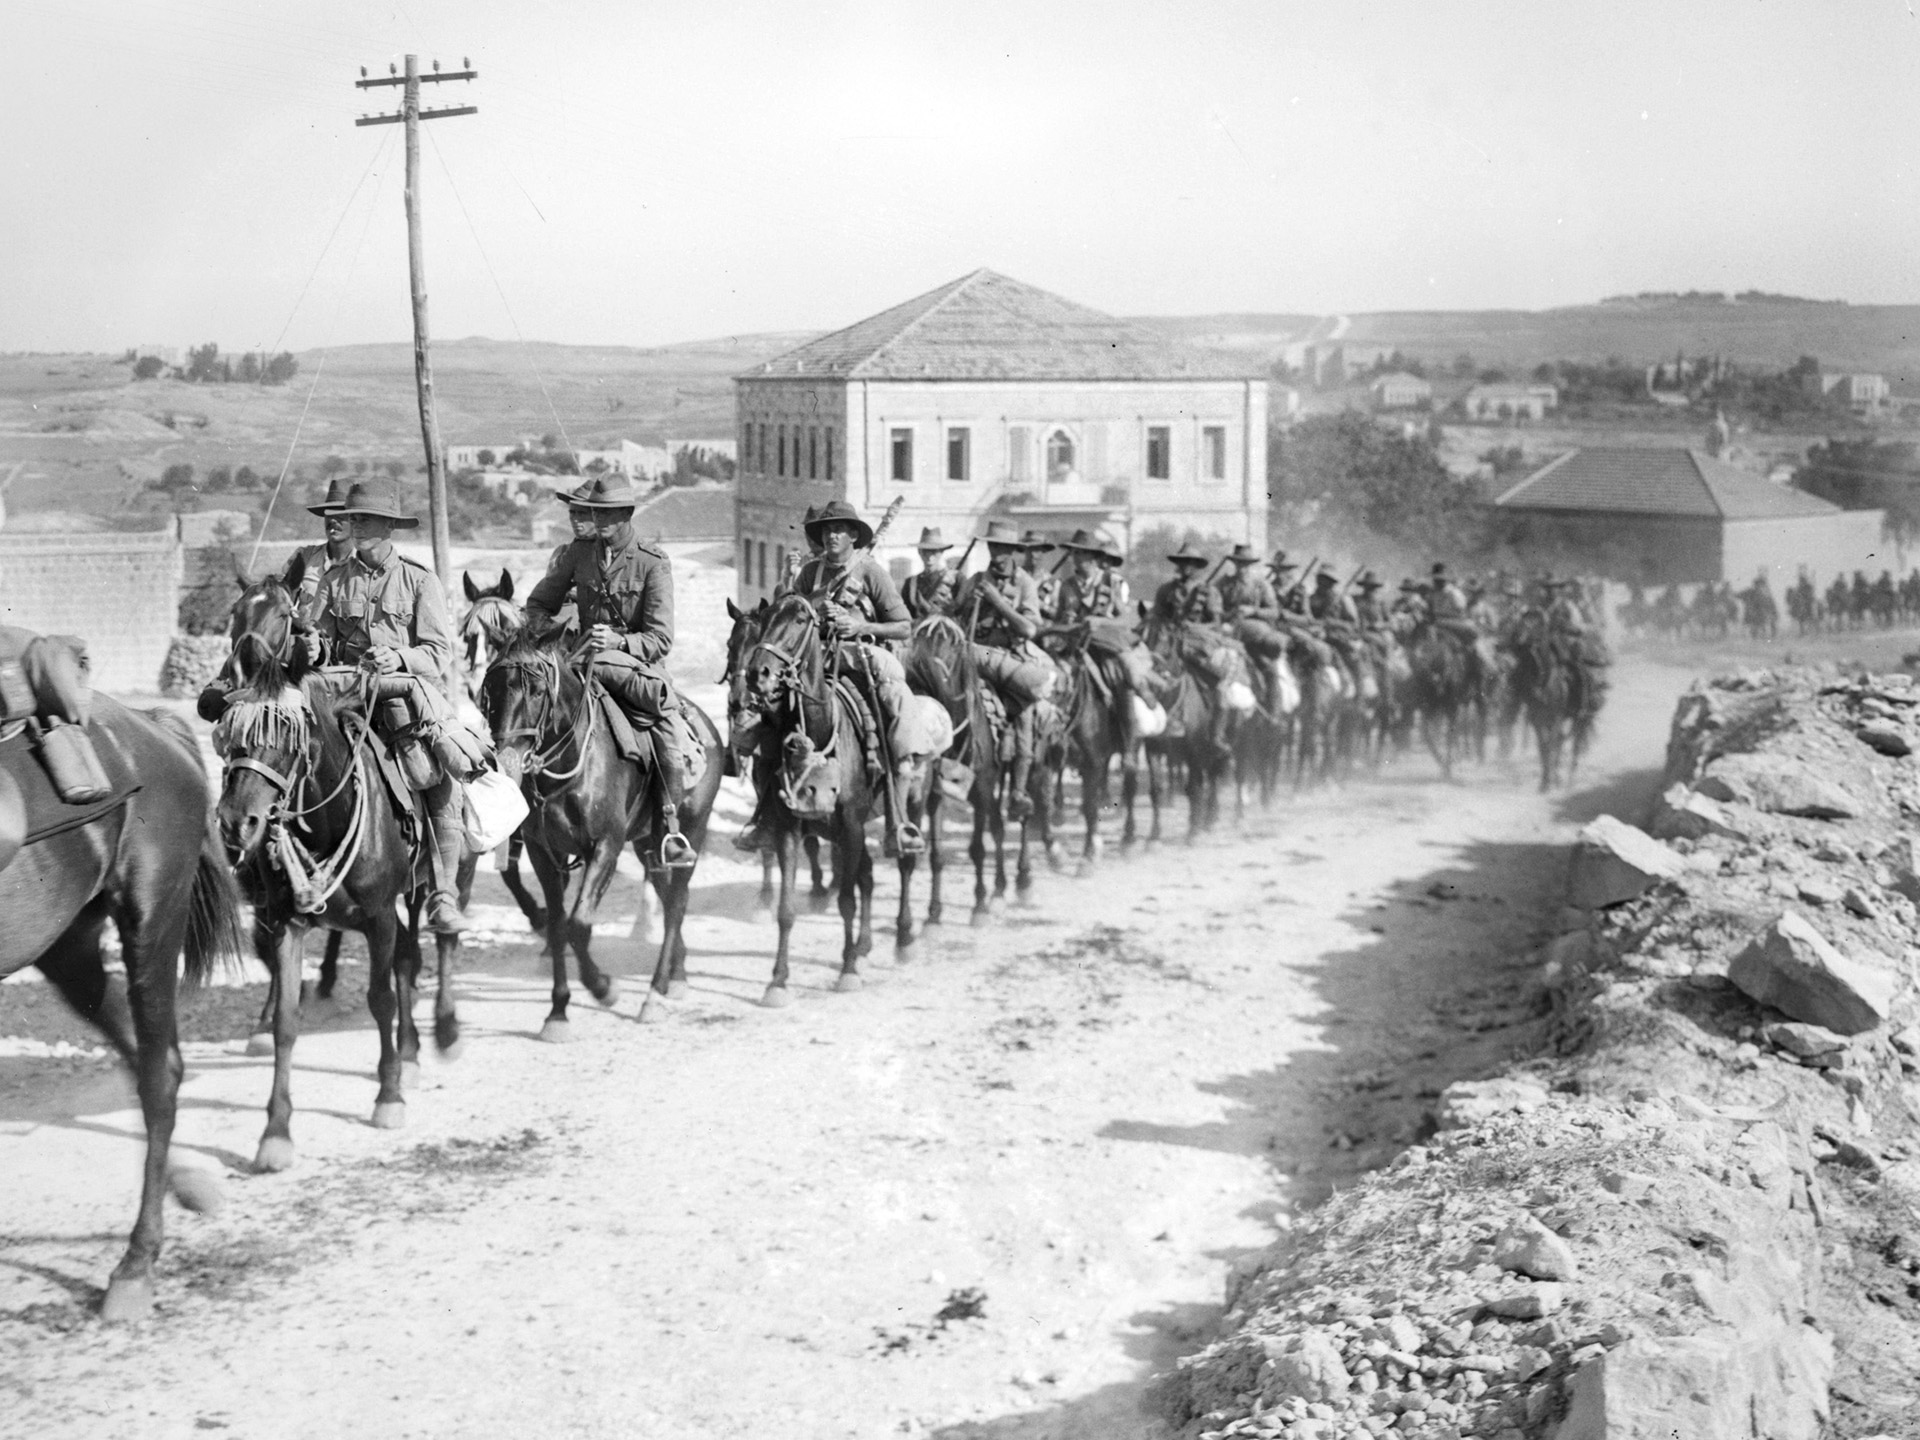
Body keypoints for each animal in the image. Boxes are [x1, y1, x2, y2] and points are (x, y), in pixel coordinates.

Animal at [0, 698, 247, 1320]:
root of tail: (152, 726)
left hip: (151, 922)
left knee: (159, 1077)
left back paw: (136, 1265)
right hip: (68, 945)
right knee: (149, 1057)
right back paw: (185, 1187)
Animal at [215, 568, 464, 1175]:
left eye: (288, 735)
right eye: (231, 735)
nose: (237, 822)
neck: (327, 821)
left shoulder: (377, 916)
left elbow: (380, 997)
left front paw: (388, 1096)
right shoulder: (286, 921)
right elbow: (287, 1019)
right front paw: (275, 1132)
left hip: (426, 886)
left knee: (430, 946)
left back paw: (440, 1034)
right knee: (407, 960)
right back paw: (411, 1050)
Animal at [476, 637, 721, 1029]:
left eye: (538, 691)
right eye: (490, 689)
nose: (507, 759)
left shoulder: (606, 847)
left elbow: (579, 925)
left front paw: (603, 988)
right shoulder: (543, 852)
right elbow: (558, 926)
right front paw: (557, 1011)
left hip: (693, 829)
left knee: (677, 904)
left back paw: (656, 992)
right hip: (648, 842)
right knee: (667, 896)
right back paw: (678, 974)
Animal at [733, 591, 929, 998]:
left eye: (798, 621)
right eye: (767, 621)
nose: (758, 674)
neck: (821, 733)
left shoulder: (852, 826)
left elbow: (846, 901)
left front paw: (848, 970)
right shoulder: (791, 827)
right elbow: (787, 908)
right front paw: (778, 980)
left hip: (909, 803)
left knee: (903, 863)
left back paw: (903, 939)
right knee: (867, 876)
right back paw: (865, 945)